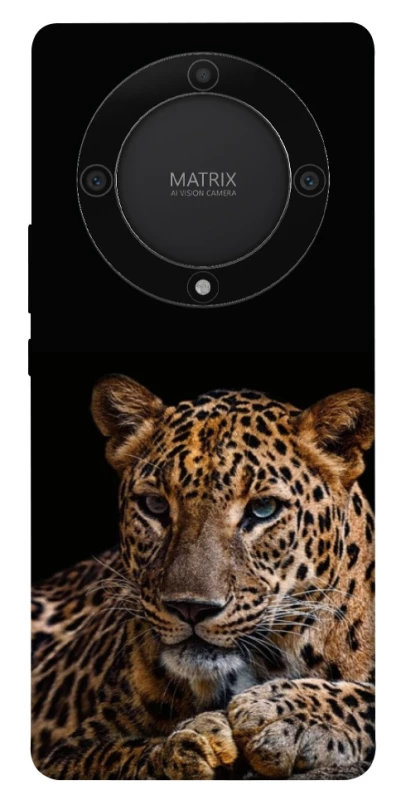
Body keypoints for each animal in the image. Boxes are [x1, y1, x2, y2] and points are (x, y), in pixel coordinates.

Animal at [31, 375, 375, 779]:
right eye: (155, 505)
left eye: (263, 508)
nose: (190, 608)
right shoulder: (66, 754)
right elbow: (118, 758)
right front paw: (187, 747)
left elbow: (366, 696)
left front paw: (283, 713)